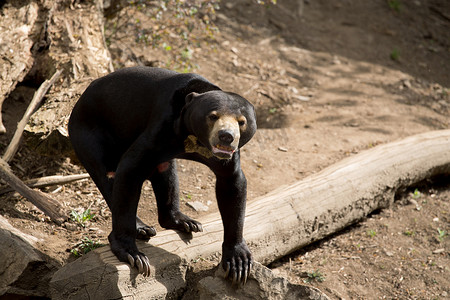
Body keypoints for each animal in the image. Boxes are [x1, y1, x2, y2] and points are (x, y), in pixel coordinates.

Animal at [67, 65, 256, 284]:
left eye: (241, 122)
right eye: (213, 116)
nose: (226, 136)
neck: (193, 140)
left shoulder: (227, 157)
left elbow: (232, 184)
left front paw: (238, 262)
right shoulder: (161, 128)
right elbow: (130, 169)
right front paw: (133, 255)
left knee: (165, 171)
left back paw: (185, 222)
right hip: (88, 134)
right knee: (107, 176)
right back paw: (142, 228)